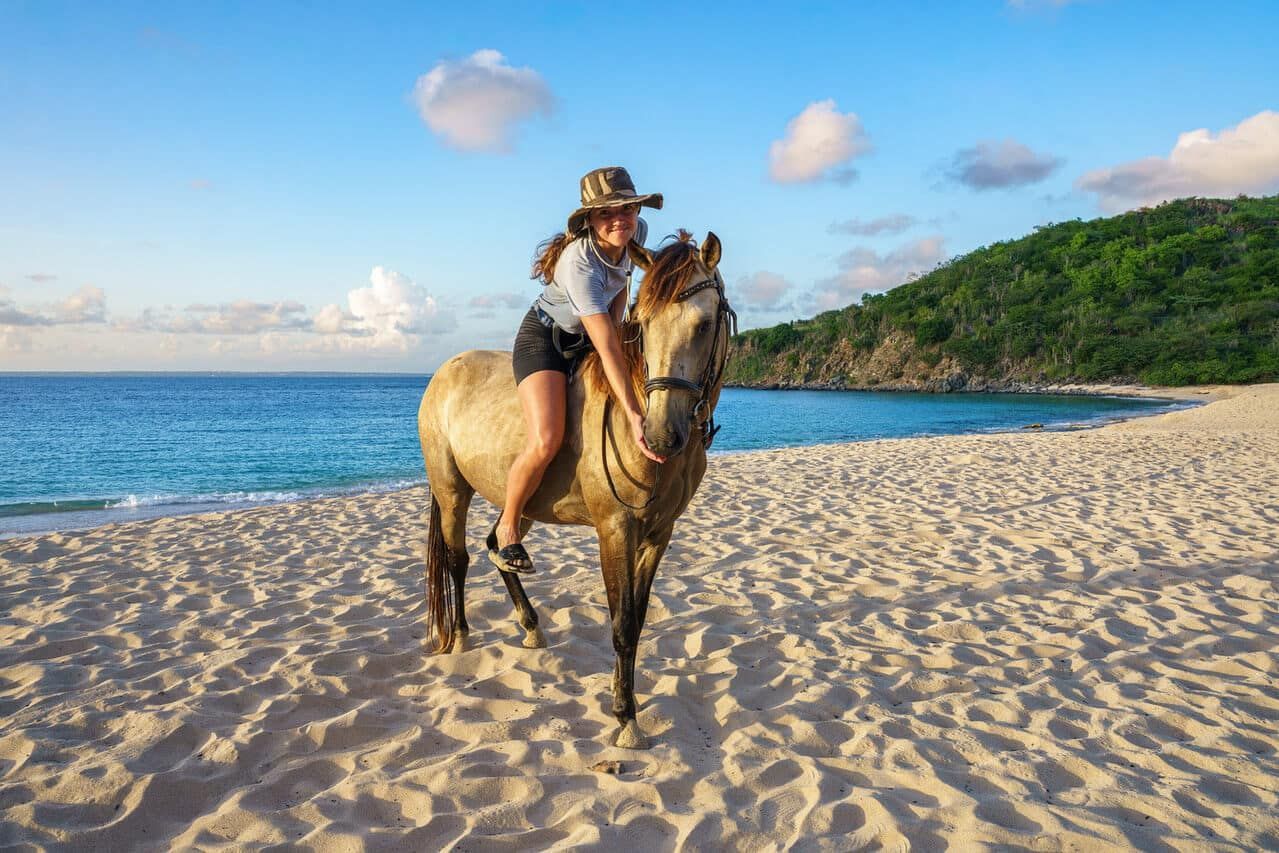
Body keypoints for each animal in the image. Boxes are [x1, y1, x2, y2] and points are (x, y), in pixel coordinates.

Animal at [416, 231, 734, 749]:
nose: (661, 436)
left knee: (498, 546)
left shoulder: (658, 535)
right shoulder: (615, 530)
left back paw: (530, 626)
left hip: (519, 504)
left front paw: (625, 701)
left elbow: (637, 620)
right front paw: (625, 718)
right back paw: (461, 635)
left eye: (705, 323)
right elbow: (621, 624)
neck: (630, 412)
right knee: (458, 559)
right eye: (642, 325)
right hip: (451, 491)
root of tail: (446, 369)